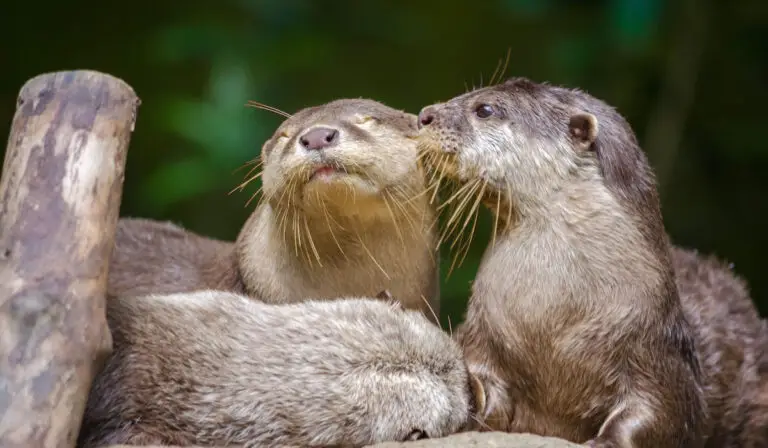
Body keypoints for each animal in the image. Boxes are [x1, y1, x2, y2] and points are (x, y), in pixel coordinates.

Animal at [415, 77, 767, 447]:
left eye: (484, 109)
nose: (424, 115)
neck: (550, 318)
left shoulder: (656, 350)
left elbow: (663, 412)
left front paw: (605, 440)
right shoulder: (483, 334)